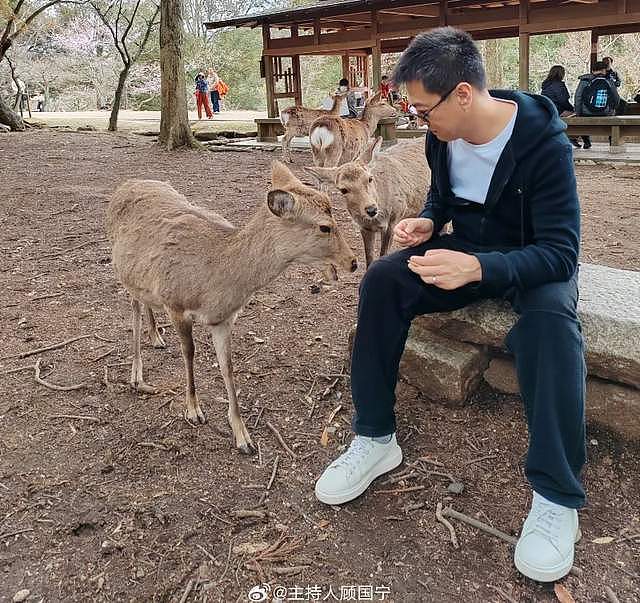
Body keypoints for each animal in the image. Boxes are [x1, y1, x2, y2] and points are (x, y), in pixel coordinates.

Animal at [104, 163, 356, 456]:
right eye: (325, 227)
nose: (352, 262)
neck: (215, 285)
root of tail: (126, 184)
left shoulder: (223, 320)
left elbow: (228, 367)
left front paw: (243, 436)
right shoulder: (175, 303)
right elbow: (189, 353)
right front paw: (194, 410)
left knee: (143, 301)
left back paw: (156, 337)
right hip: (122, 269)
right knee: (133, 306)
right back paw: (136, 375)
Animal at [304, 138, 430, 270]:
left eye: (369, 178)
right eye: (343, 190)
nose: (371, 209)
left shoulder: (394, 218)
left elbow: (383, 254)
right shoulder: (364, 227)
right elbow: (369, 258)